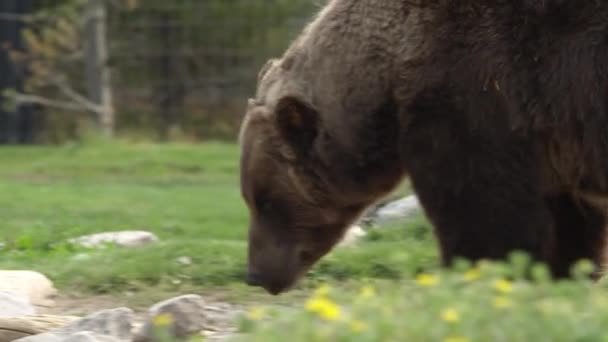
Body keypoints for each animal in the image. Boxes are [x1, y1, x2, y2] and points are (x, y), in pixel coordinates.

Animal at [240, 0, 608, 294]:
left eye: (266, 201)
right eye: (251, 198)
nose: (255, 275)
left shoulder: (471, 99)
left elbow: (484, 218)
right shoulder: (551, 147)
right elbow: (570, 225)